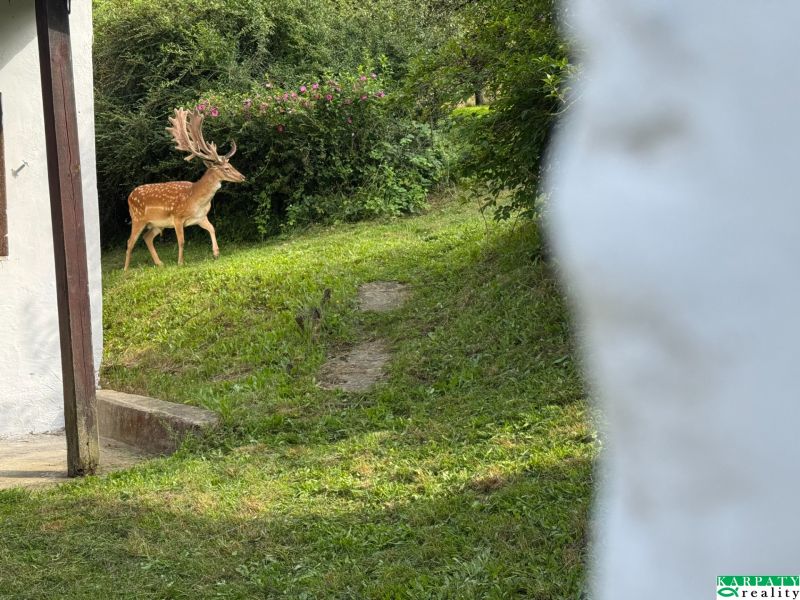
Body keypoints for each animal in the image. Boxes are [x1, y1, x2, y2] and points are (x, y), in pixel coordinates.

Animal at [123, 108, 245, 270]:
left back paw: (159, 263)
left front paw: (216, 253)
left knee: (147, 237)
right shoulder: (177, 217)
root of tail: (129, 196)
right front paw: (180, 262)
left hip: (157, 224)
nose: (242, 176)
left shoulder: (201, 217)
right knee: (130, 242)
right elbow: (181, 241)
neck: (195, 199)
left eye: (231, 165)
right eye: (226, 168)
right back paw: (126, 270)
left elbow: (212, 228)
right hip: (137, 219)